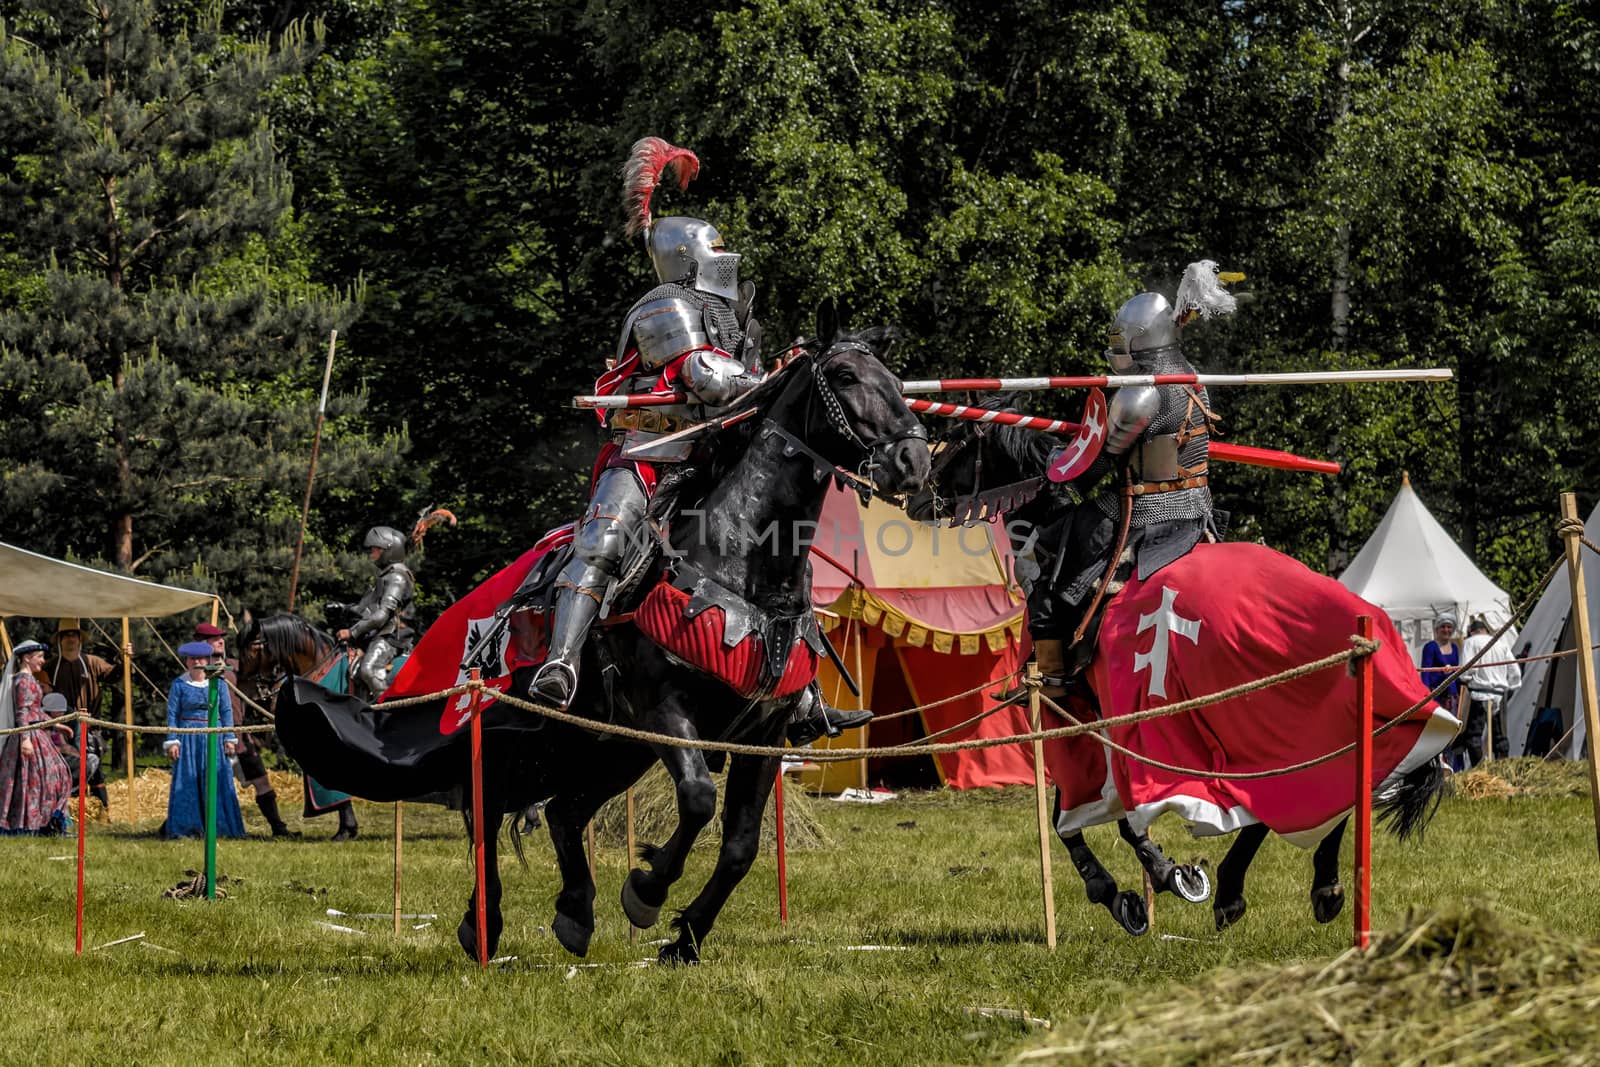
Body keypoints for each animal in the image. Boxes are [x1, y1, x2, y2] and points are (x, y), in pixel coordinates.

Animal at [272, 327, 928, 966]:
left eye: (896, 380)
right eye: (845, 376)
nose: (913, 458)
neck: (742, 562)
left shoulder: (763, 737)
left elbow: (740, 846)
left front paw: (684, 939)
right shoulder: (666, 713)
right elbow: (696, 800)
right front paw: (647, 891)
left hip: (605, 747)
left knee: (564, 811)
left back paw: (574, 911)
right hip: (518, 734)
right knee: (489, 811)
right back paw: (483, 925)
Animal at [908, 398, 1446, 934]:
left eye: (956, 441)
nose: (916, 493)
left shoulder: (1089, 717)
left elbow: (1093, 818)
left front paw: (1146, 880)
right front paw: (1136, 887)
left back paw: (1233, 889)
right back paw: (1314, 887)